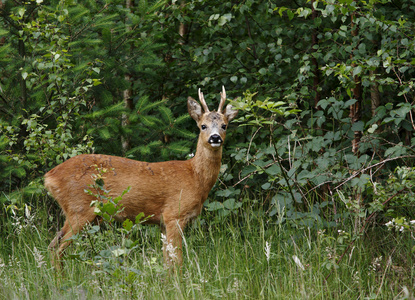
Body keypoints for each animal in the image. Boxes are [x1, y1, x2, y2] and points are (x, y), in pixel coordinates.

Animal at [44, 86, 237, 270]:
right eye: (203, 126)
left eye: (224, 125)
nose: (215, 138)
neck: (195, 177)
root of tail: (49, 177)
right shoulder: (174, 214)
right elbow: (178, 260)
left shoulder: (162, 222)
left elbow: (167, 262)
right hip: (79, 208)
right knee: (58, 249)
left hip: (78, 212)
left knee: (52, 244)